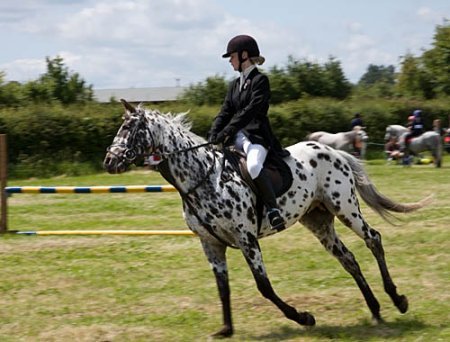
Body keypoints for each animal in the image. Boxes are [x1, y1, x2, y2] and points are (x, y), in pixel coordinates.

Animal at [103, 99, 430, 340]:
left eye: (131, 128)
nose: (109, 161)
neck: (201, 178)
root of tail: (334, 151)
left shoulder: (246, 238)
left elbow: (264, 286)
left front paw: (304, 317)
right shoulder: (210, 244)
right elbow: (222, 287)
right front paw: (226, 329)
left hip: (345, 207)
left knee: (373, 239)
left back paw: (397, 300)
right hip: (318, 220)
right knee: (348, 259)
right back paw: (375, 309)